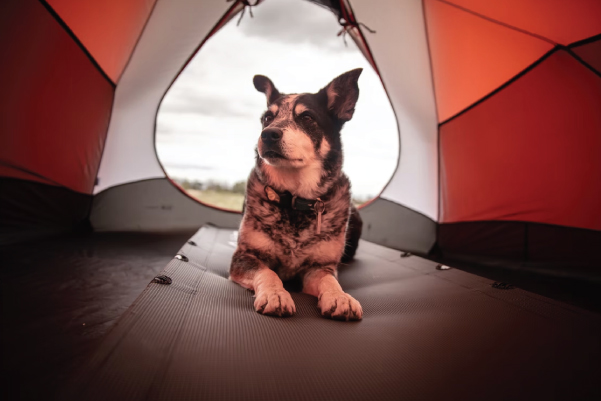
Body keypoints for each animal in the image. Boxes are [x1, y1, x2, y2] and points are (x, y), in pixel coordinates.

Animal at [229, 68, 364, 318]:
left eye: (307, 117)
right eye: (267, 118)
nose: (267, 134)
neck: (294, 199)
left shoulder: (319, 267)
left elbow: (330, 281)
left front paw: (340, 297)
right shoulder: (245, 256)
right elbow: (268, 272)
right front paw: (276, 294)